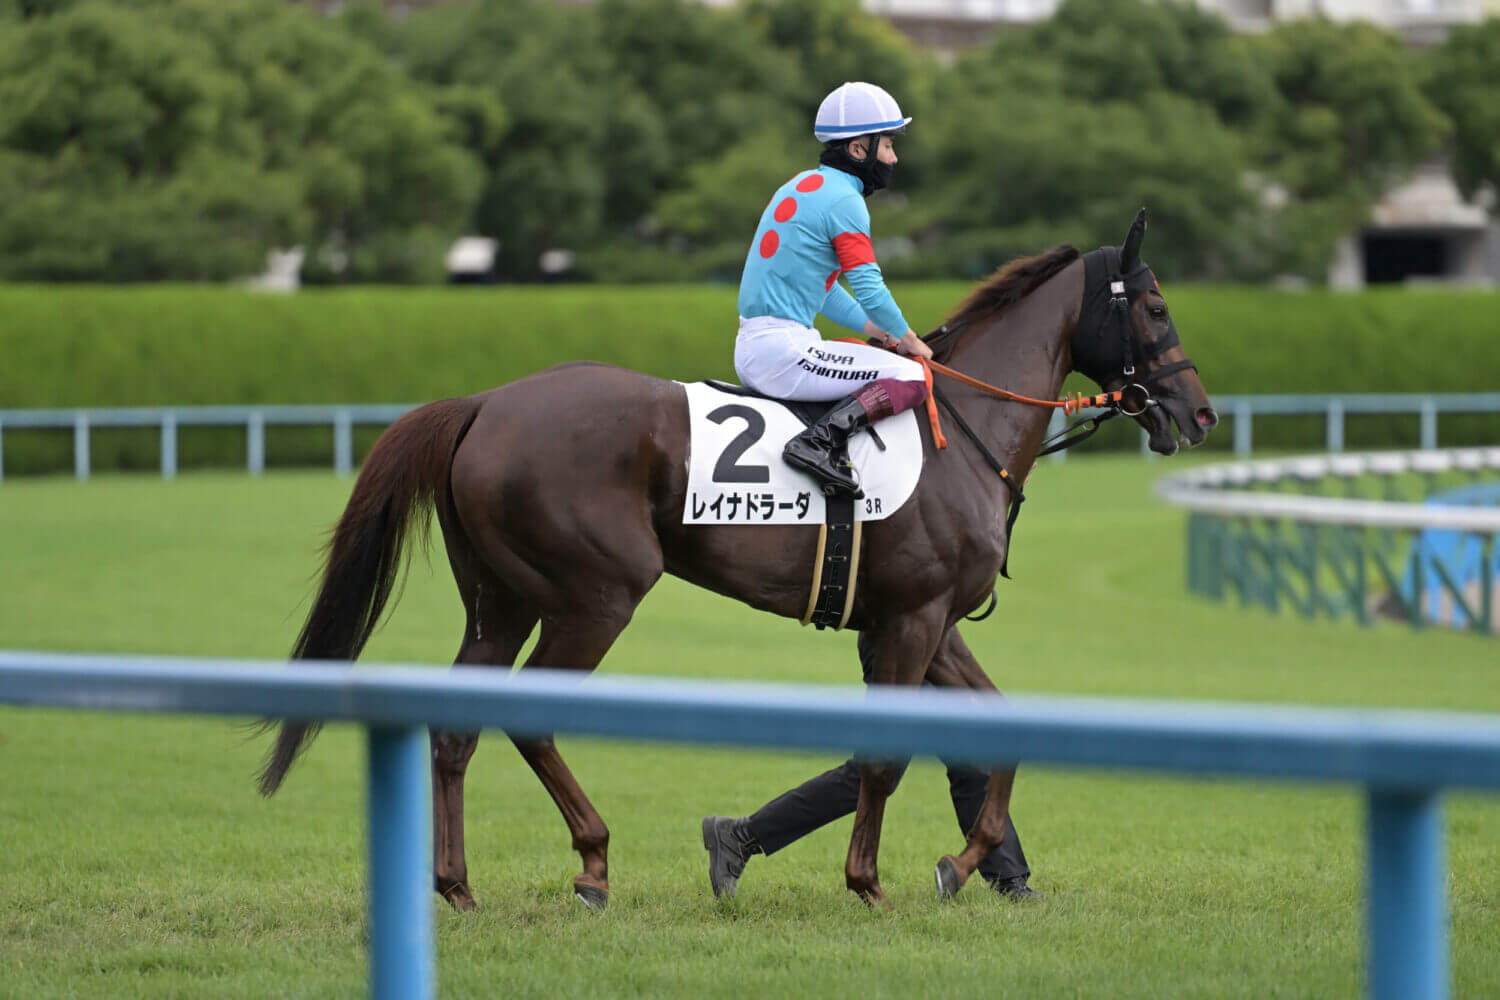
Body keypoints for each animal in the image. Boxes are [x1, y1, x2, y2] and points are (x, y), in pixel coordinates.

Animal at [258, 212, 1218, 917]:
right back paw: (593, 863)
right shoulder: (911, 622)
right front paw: (869, 881)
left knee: (456, 727)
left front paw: (968, 861)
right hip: (596, 598)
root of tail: (487, 402)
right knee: (530, 717)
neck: (964, 432)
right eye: (1157, 308)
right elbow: (883, 758)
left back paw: (457, 885)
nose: (1200, 412)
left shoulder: (929, 622)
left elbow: (996, 732)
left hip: (503, 602)